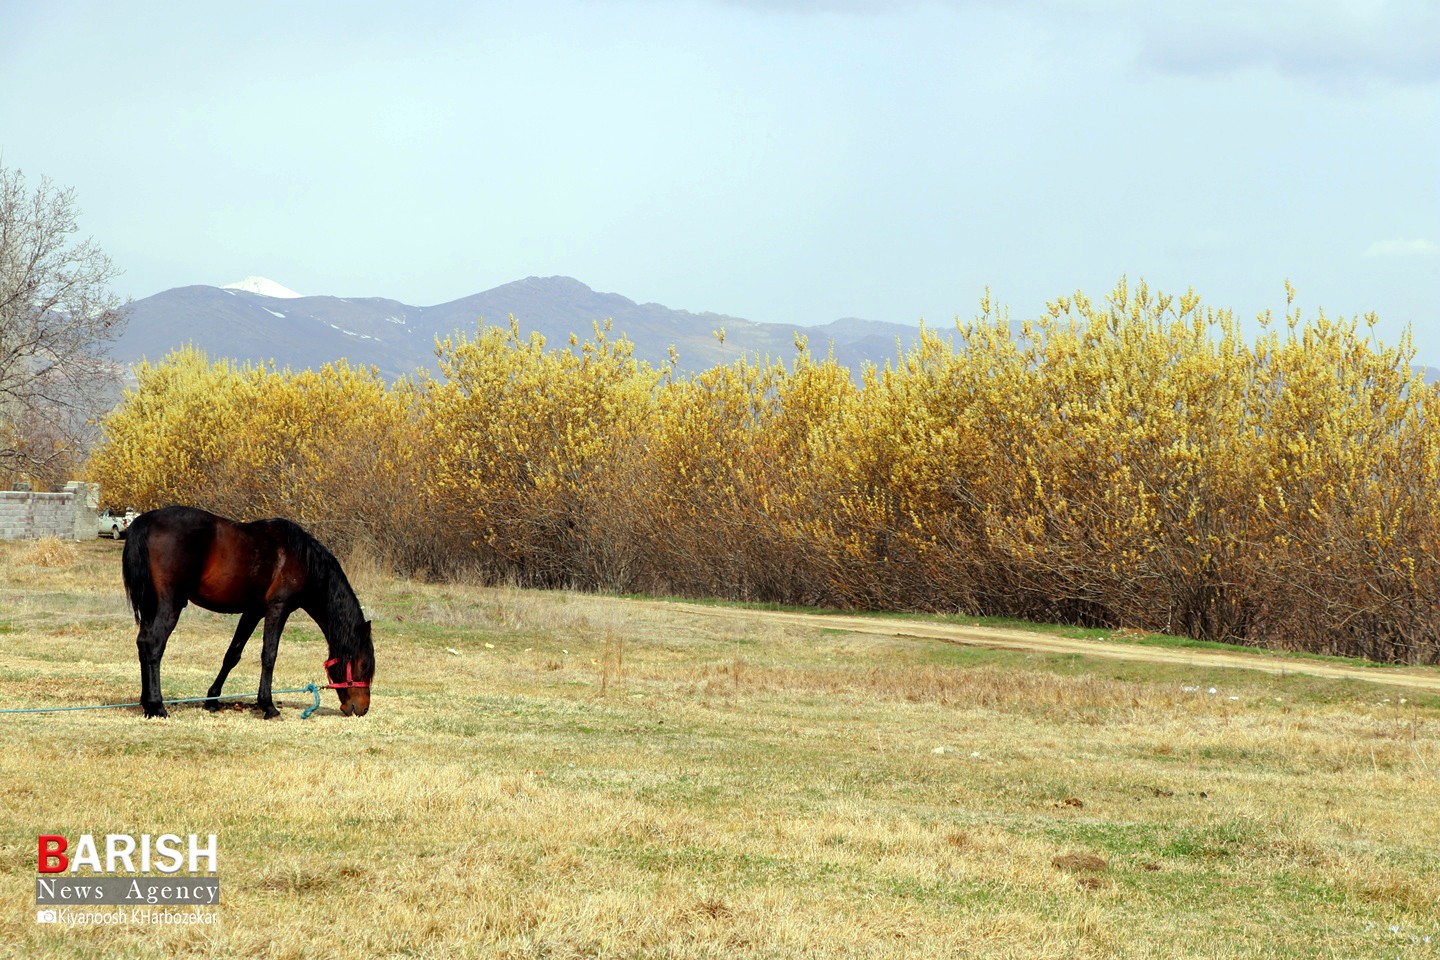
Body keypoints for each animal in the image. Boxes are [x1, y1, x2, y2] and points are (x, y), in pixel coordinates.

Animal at [120, 506, 374, 716]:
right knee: (154, 644)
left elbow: (232, 655)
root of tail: (145, 522)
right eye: (363, 665)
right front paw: (268, 706)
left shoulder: (253, 611)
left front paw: (212, 700)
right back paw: (157, 706)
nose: (361, 708)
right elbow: (269, 655)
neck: (301, 559)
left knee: (143, 643)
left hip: (151, 605)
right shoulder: (278, 609)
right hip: (170, 603)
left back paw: (146, 702)